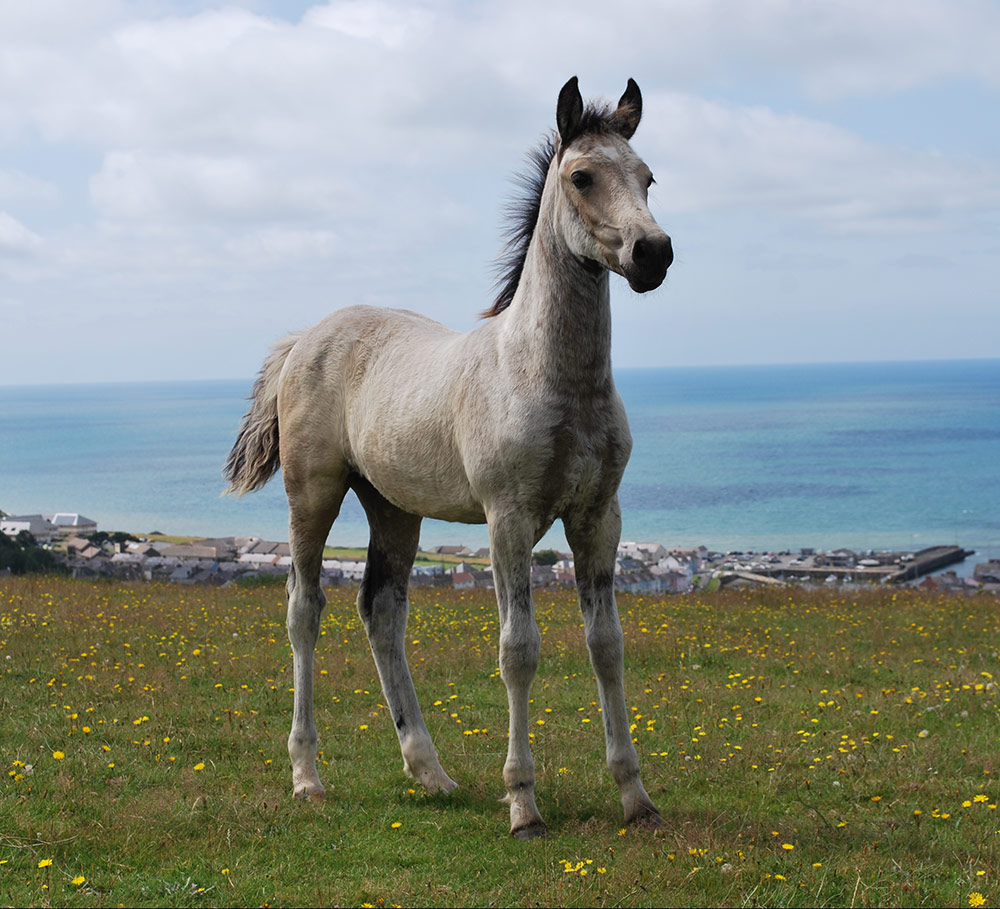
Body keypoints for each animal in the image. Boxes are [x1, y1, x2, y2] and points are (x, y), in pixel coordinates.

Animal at [226, 78, 676, 836]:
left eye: (647, 177)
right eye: (582, 176)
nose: (654, 253)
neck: (550, 376)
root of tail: (305, 337)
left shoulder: (599, 517)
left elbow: (607, 645)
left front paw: (635, 796)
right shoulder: (509, 518)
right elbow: (518, 649)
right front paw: (523, 804)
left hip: (394, 509)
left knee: (381, 610)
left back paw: (430, 770)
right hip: (312, 494)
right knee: (304, 608)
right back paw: (308, 776)